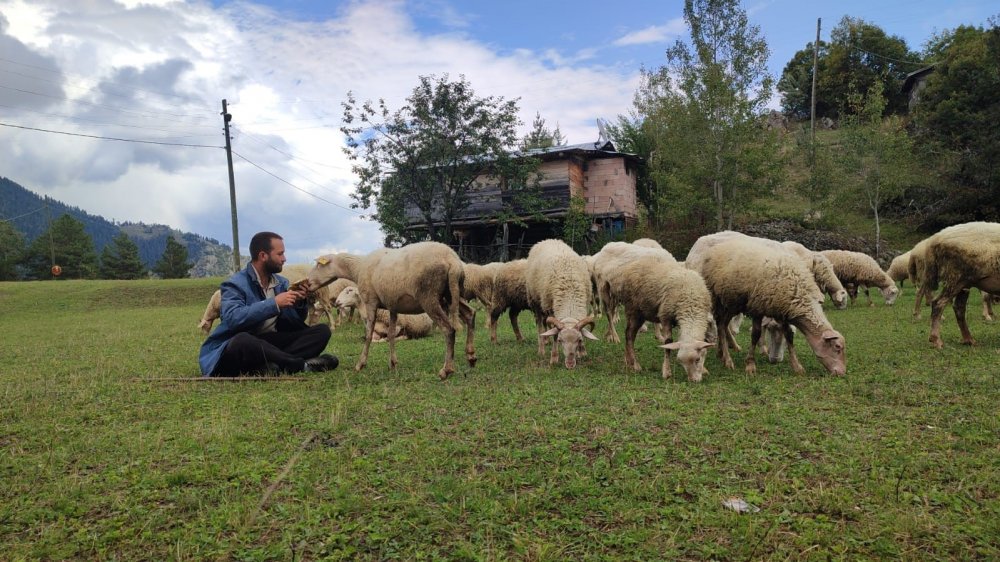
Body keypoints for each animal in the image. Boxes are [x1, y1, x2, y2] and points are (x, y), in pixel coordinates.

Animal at [304, 243, 476, 378]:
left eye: (319, 265)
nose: (308, 283)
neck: (358, 268)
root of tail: (452, 259)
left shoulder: (370, 302)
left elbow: (368, 335)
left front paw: (360, 364)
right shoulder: (393, 306)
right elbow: (392, 334)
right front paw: (393, 364)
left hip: (429, 296)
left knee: (449, 329)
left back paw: (446, 370)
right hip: (451, 295)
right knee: (470, 314)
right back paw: (471, 356)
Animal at [528, 237, 596, 366]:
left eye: (579, 340)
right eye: (560, 340)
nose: (570, 364)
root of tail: (548, 239)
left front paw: (582, 352)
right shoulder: (551, 310)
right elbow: (554, 333)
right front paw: (554, 358)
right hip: (536, 302)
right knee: (540, 326)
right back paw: (541, 348)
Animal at [700, 237, 848, 374]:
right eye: (837, 347)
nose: (841, 372)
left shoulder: (783, 311)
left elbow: (789, 335)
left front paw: (797, 366)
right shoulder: (757, 308)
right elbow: (755, 334)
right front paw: (750, 364)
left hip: (732, 303)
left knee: (723, 325)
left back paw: (722, 355)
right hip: (719, 299)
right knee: (720, 325)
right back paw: (728, 360)